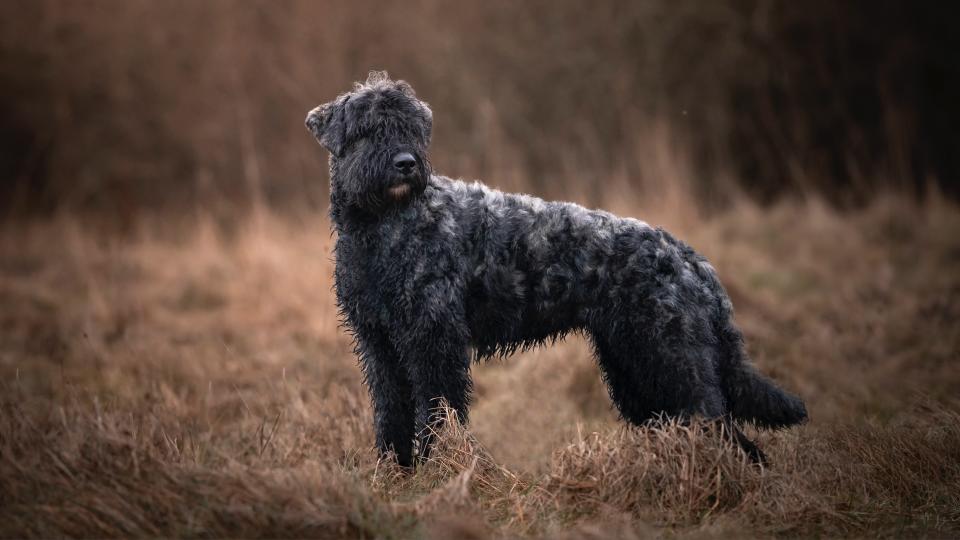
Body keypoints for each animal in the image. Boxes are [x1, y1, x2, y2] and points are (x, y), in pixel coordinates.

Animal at [306, 73, 804, 468]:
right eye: (367, 130)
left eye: (411, 128)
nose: (405, 163)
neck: (382, 229)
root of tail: (690, 257)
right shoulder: (380, 344)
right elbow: (391, 412)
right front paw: (396, 472)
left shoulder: (433, 341)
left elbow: (436, 411)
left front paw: (438, 471)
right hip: (634, 365)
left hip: (672, 358)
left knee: (723, 427)